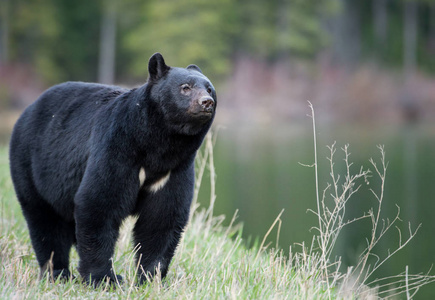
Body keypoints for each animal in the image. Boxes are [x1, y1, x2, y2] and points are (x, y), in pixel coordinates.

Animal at [8, 52, 216, 284]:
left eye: (209, 88)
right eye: (185, 87)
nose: (207, 102)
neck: (156, 145)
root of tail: (28, 109)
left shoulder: (175, 169)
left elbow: (162, 217)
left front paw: (150, 277)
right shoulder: (117, 149)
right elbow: (99, 203)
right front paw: (104, 278)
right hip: (32, 166)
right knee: (45, 221)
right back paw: (57, 272)